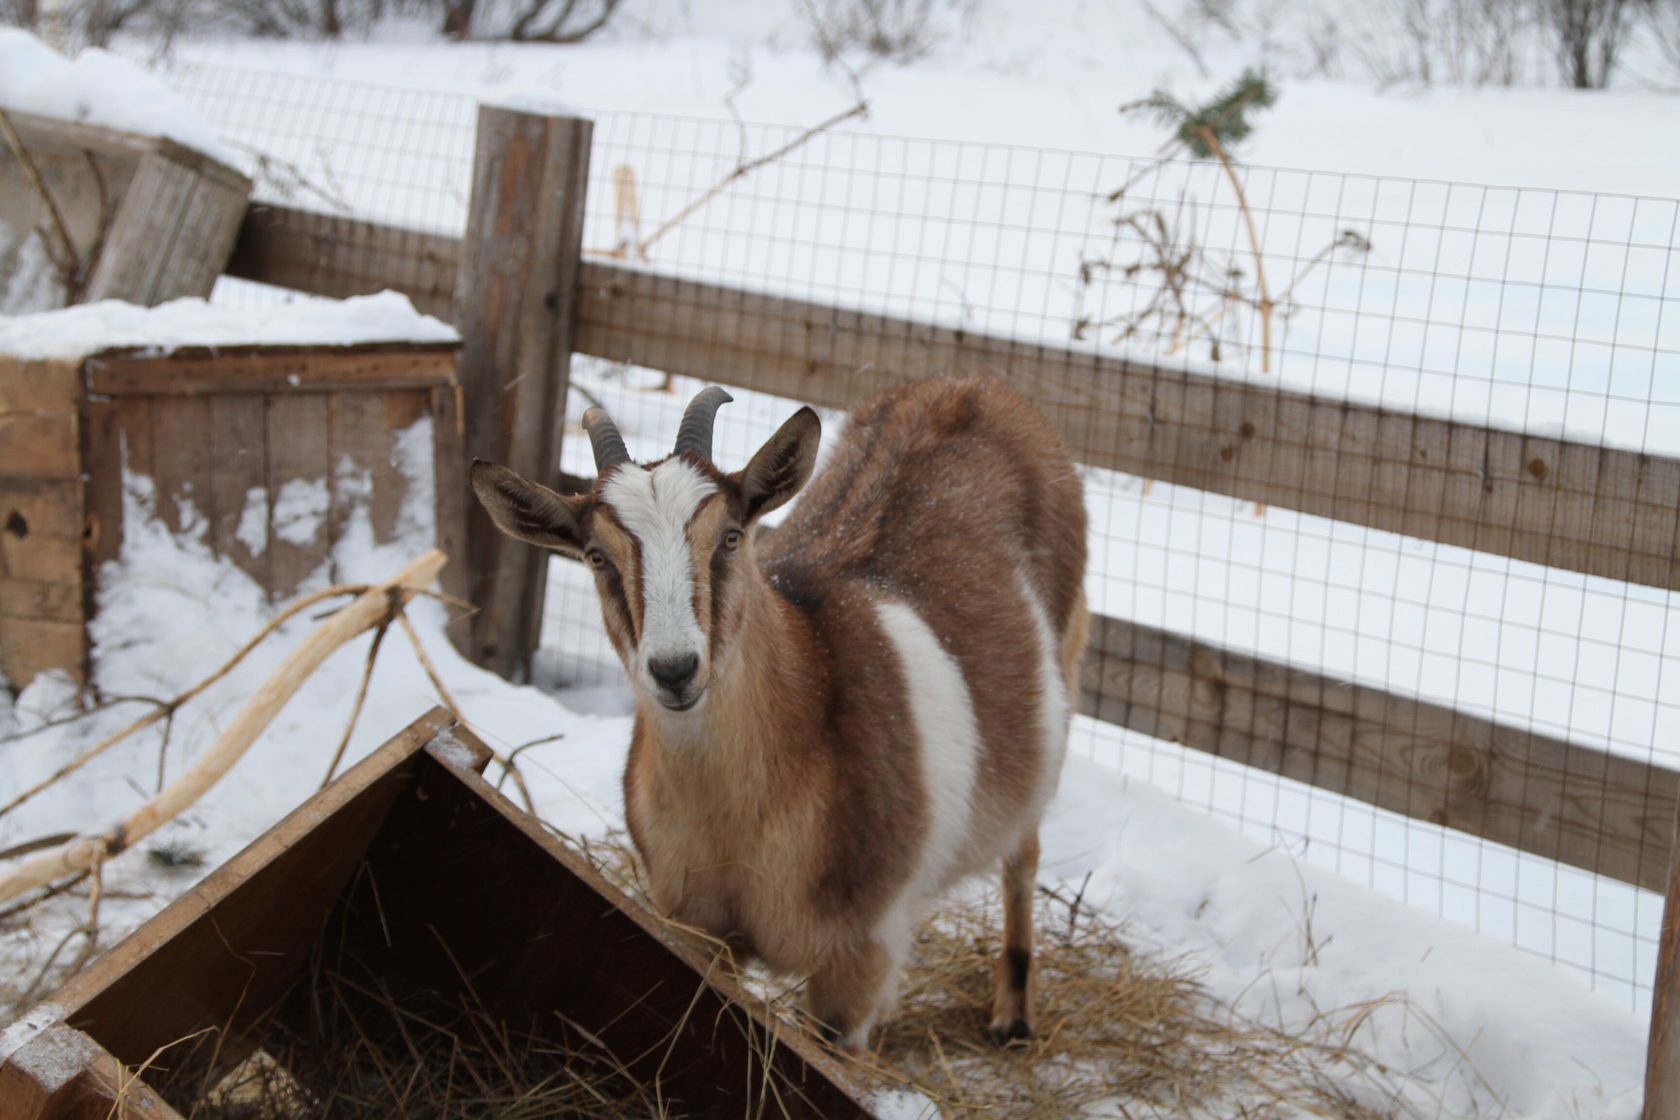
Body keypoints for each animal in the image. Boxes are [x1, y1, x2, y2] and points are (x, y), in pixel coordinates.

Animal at [473, 379, 1088, 1054]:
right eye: (595, 556)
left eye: (730, 536)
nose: (675, 670)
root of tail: (972, 387)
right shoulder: (691, 924)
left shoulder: (858, 957)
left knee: (1024, 851)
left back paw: (1013, 1015)